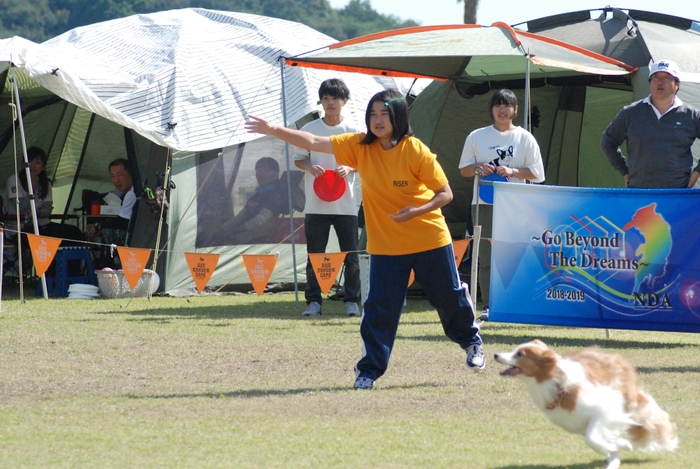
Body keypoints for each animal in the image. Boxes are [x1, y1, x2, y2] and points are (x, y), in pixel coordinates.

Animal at [492, 340, 680, 468]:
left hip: (627, 401)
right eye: (515, 350)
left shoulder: (605, 412)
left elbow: (592, 439)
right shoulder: (578, 423)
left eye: (520, 354)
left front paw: (623, 445)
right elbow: (599, 443)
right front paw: (616, 450)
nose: (495, 355)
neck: (555, 383)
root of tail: (613, 356)